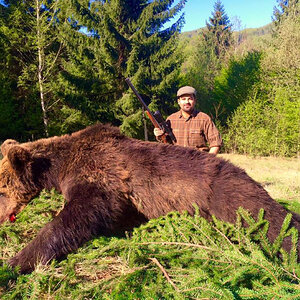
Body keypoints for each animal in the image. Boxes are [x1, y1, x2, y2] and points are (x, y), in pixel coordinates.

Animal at [0, 123, 298, 274]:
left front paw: (15, 262)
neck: (60, 164)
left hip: (239, 203)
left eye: (2, 190)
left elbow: (80, 215)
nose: (2, 218)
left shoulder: (101, 175)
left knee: (277, 228)